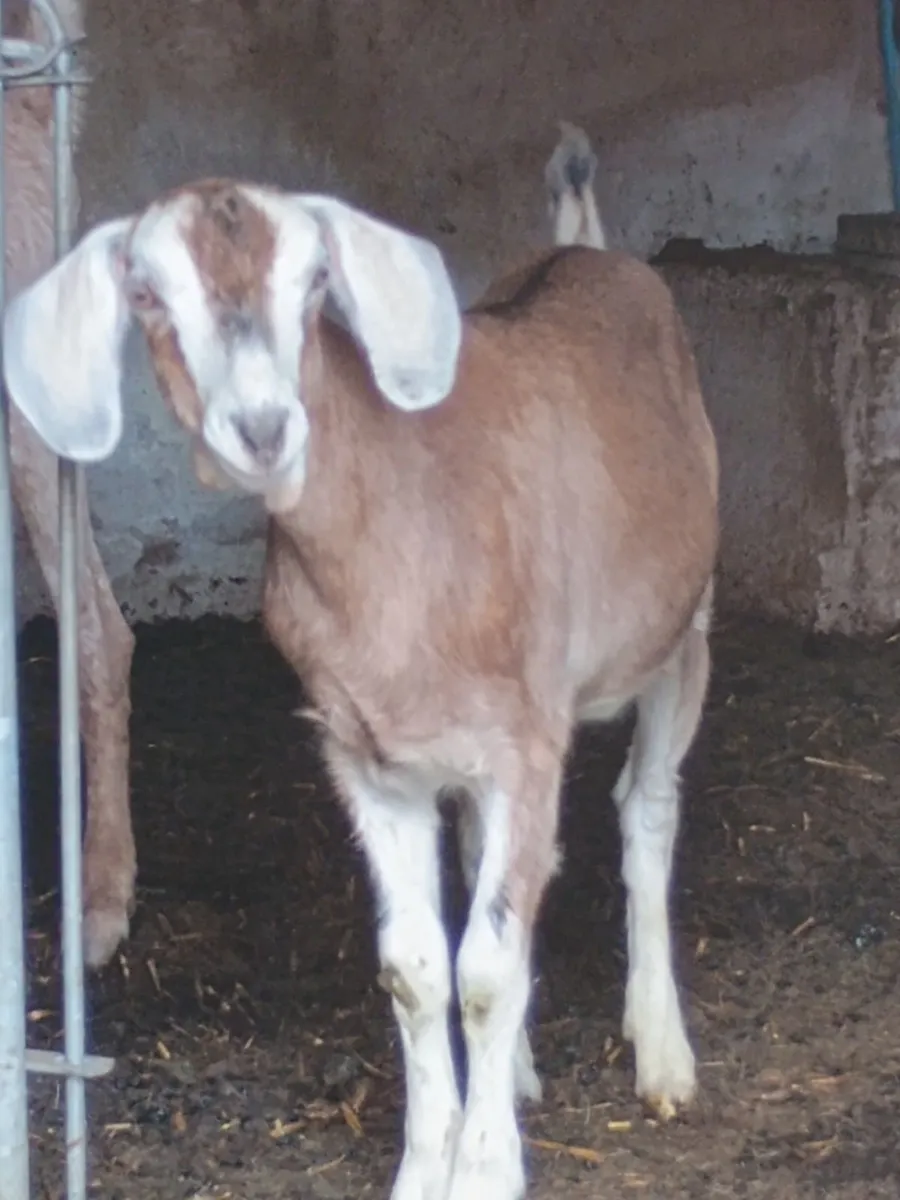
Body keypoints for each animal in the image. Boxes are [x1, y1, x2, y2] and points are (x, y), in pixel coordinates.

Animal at [2, 123, 719, 1199]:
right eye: (147, 294)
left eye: (313, 281)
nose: (263, 428)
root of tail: (587, 252)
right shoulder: (366, 756)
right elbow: (420, 970)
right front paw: (430, 1160)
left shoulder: (525, 739)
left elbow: (486, 970)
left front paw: (484, 1170)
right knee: (492, 862)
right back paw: (519, 1070)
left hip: (684, 627)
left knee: (647, 809)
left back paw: (662, 1054)